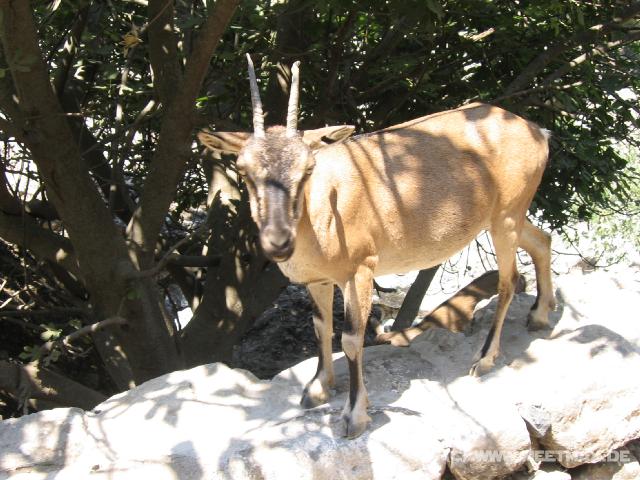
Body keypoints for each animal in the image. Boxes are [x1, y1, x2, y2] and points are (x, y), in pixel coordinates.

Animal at [198, 55, 555, 438]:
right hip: (507, 217)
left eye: (308, 167)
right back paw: (539, 316)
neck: (326, 205)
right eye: (243, 168)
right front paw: (317, 389)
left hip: (505, 219)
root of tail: (537, 132)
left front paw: (354, 416)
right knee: (542, 241)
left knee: (508, 281)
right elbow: (320, 326)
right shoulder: (318, 280)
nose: (278, 241)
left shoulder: (360, 271)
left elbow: (352, 338)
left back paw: (485, 358)